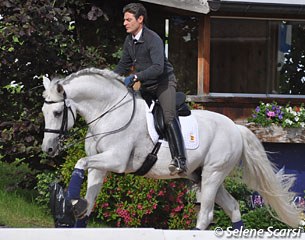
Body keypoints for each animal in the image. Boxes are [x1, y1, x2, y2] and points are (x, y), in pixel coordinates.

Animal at [41, 67, 300, 229]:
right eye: (44, 111)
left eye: (57, 112)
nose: (48, 150)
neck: (110, 111)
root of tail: (236, 128)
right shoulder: (99, 166)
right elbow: (88, 201)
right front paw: (77, 205)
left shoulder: (116, 160)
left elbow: (79, 162)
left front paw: (69, 200)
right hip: (203, 176)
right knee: (234, 208)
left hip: (214, 173)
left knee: (206, 215)